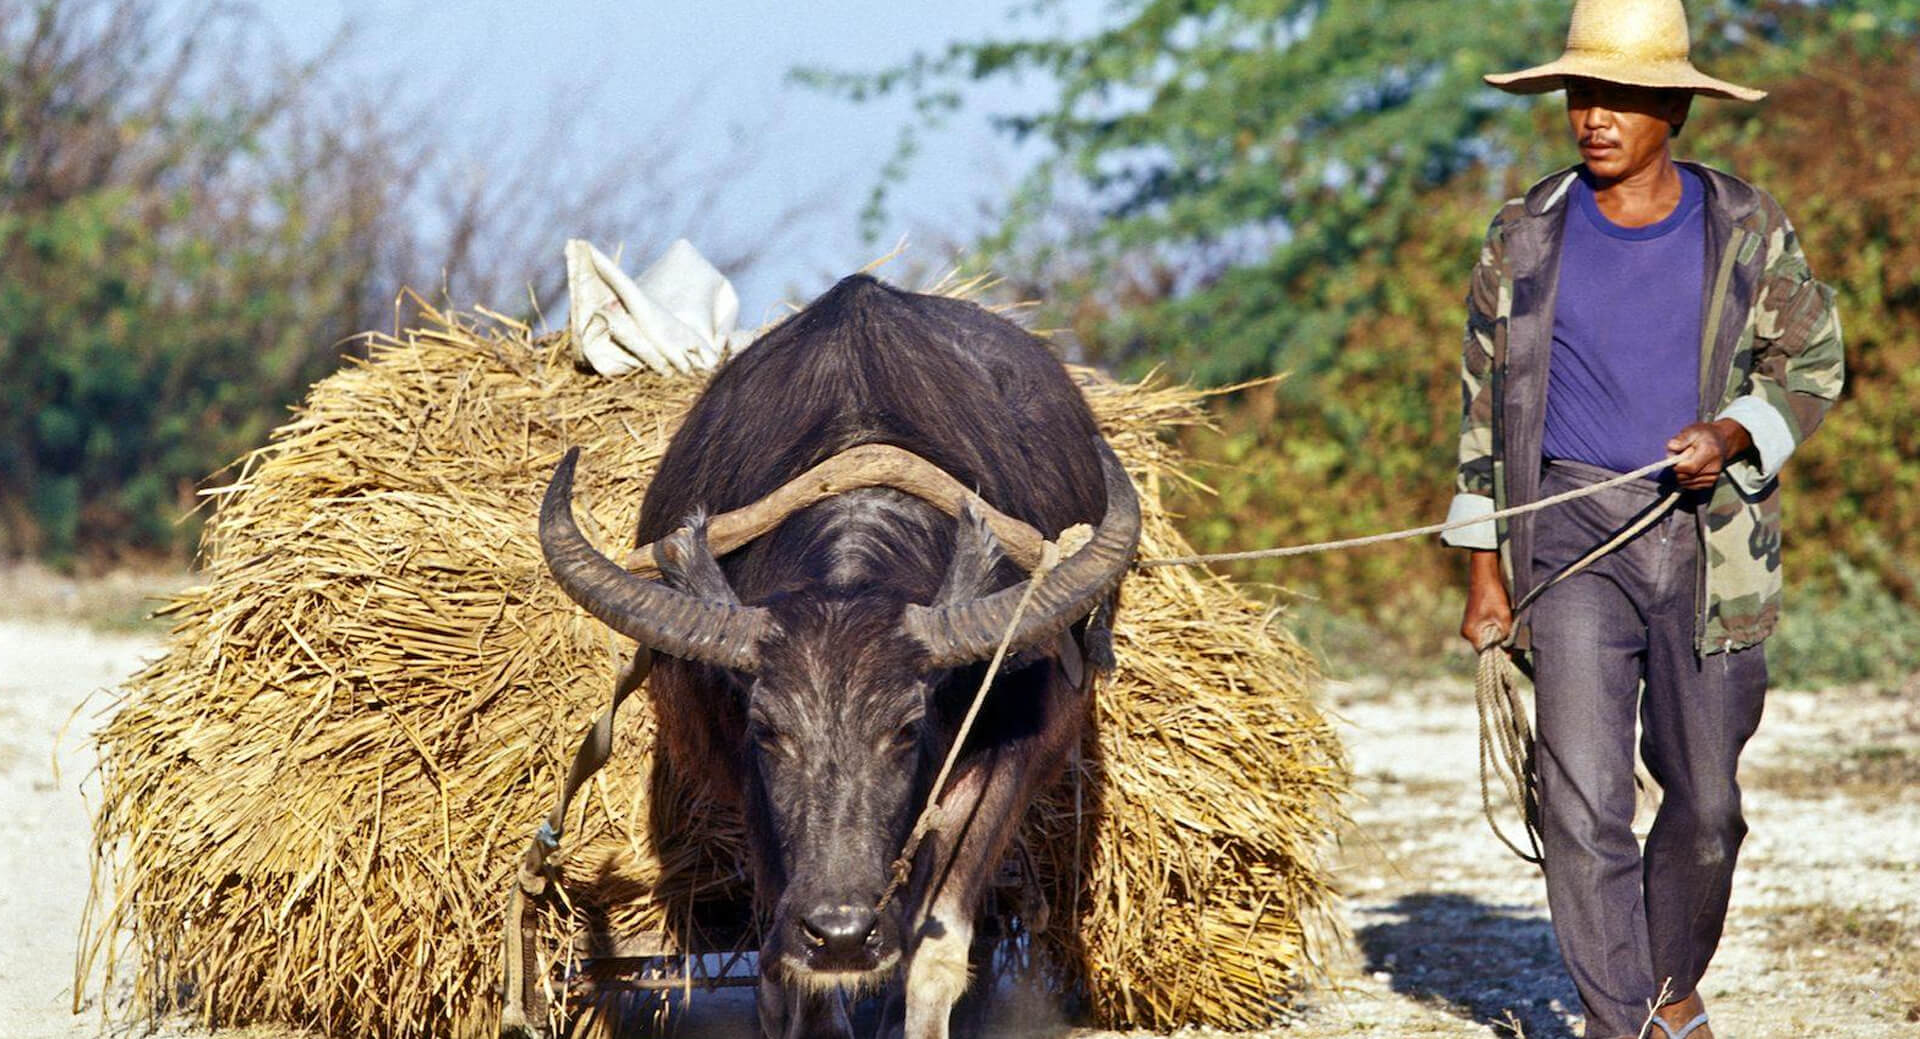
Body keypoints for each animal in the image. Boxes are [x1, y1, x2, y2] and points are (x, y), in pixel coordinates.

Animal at [533, 270, 1128, 1029]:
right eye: (768, 728)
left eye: (906, 729)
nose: (843, 931)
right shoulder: (749, 784)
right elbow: (792, 977)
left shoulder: (1009, 755)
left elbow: (934, 959)